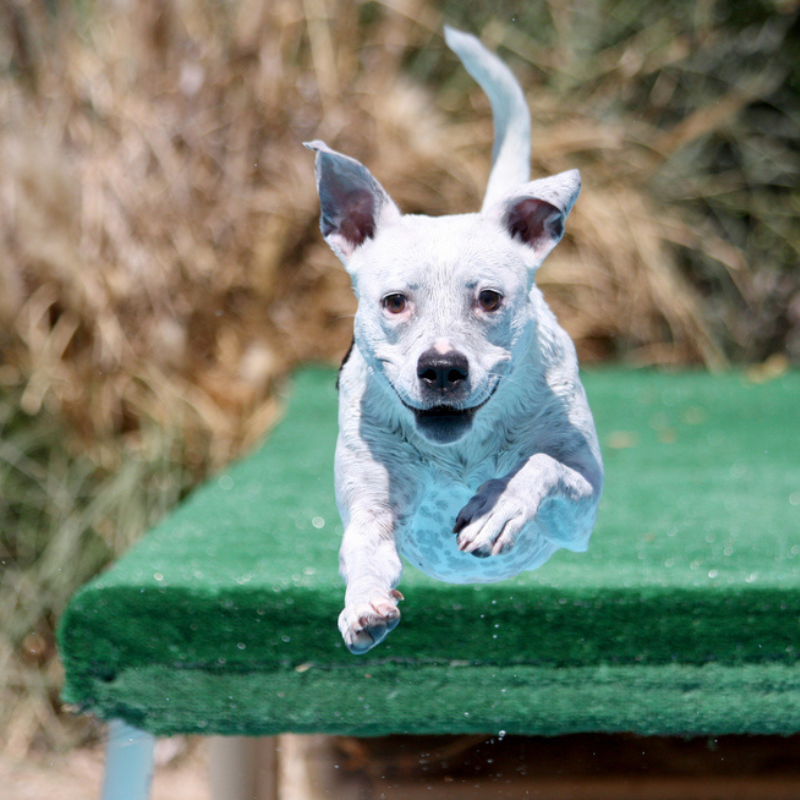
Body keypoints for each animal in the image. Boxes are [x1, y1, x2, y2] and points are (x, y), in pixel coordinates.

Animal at [304, 26, 600, 656]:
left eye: (489, 298)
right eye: (395, 301)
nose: (442, 368)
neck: (459, 451)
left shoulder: (584, 507)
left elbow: (541, 463)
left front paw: (497, 506)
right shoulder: (371, 508)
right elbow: (362, 552)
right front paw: (364, 607)